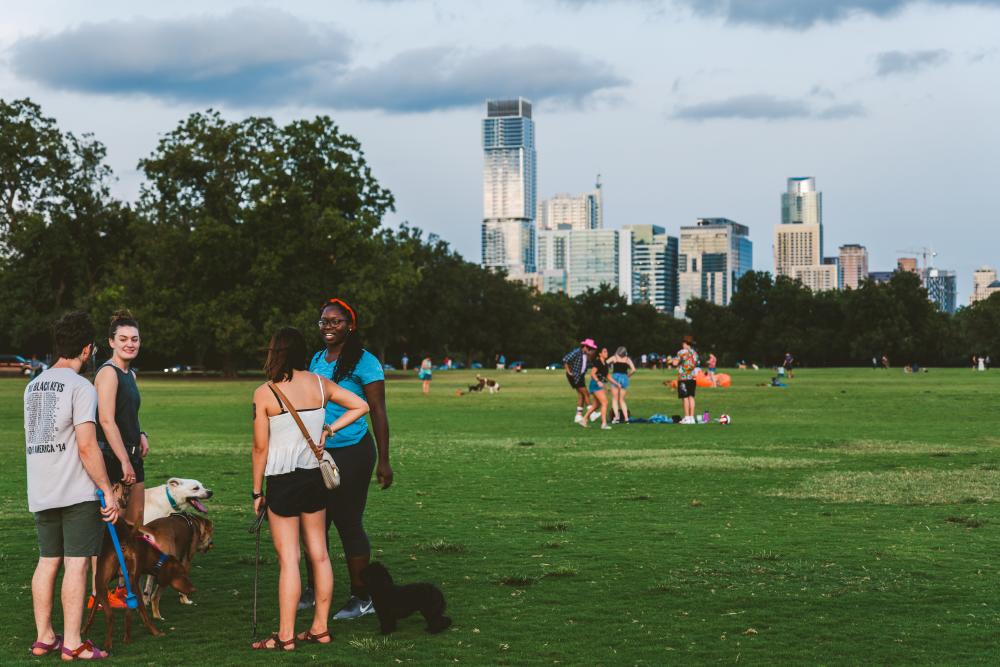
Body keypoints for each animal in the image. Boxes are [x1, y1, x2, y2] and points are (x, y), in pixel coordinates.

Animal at [83, 516, 196, 652]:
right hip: (124, 584)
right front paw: (84, 630)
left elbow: (93, 609)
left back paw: (110, 644)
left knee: (112, 615)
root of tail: (125, 543)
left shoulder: (102, 583)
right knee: (128, 613)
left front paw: (84, 630)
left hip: (108, 582)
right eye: (182, 574)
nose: (194, 589)